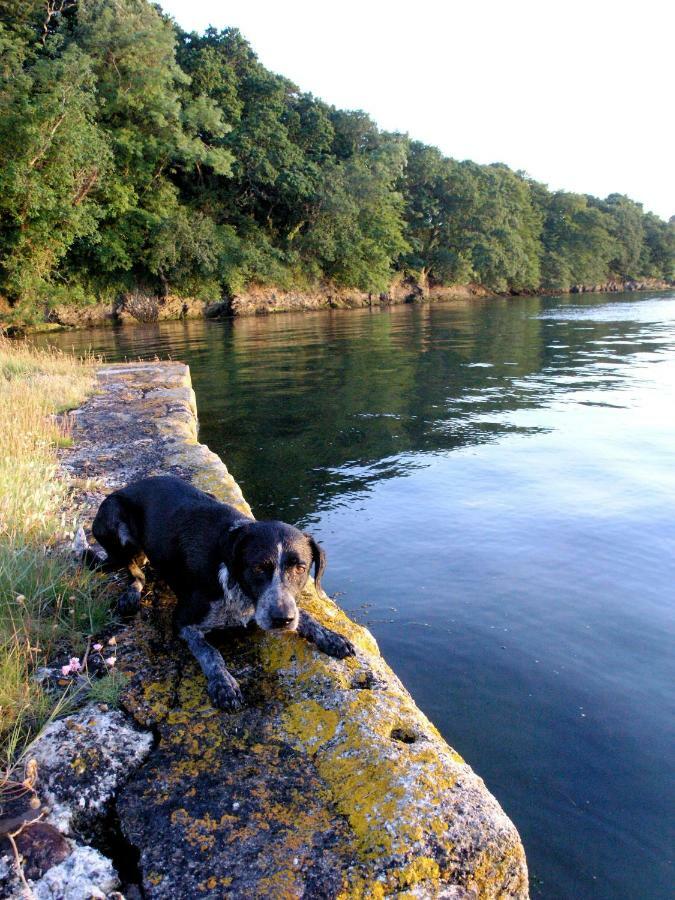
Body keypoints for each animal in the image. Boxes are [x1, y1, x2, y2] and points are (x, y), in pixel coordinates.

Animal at [81, 478, 356, 712]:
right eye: (258, 568)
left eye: (300, 568)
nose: (282, 620)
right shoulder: (182, 621)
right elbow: (210, 652)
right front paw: (224, 684)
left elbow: (305, 615)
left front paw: (330, 636)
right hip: (115, 520)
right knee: (135, 572)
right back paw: (131, 595)